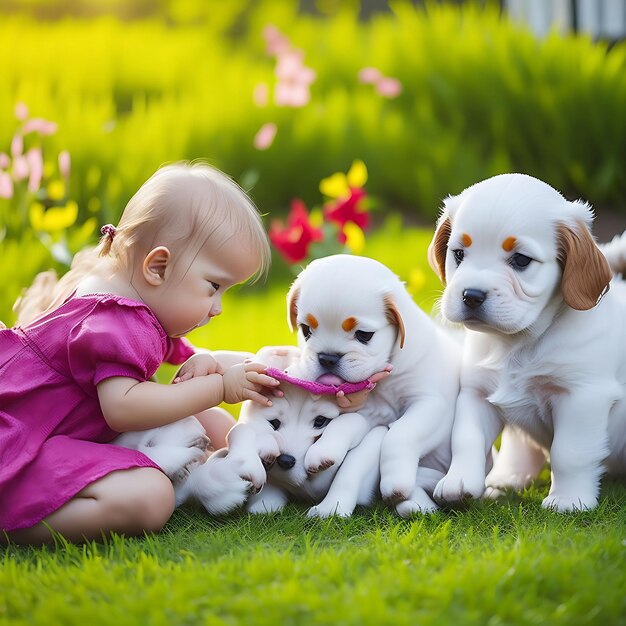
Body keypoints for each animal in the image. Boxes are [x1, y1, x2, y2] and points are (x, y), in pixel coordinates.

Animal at [286, 251, 458, 516]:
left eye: (363, 335)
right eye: (306, 331)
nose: (327, 358)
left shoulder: (430, 403)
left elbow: (401, 433)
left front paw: (395, 481)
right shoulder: (365, 413)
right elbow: (345, 423)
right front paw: (323, 451)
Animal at [428, 173, 624, 510]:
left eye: (520, 260)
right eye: (459, 254)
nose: (471, 296)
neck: (516, 344)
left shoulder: (583, 396)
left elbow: (570, 452)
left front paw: (568, 499)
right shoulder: (476, 393)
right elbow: (466, 439)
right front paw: (458, 482)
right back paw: (505, 479)